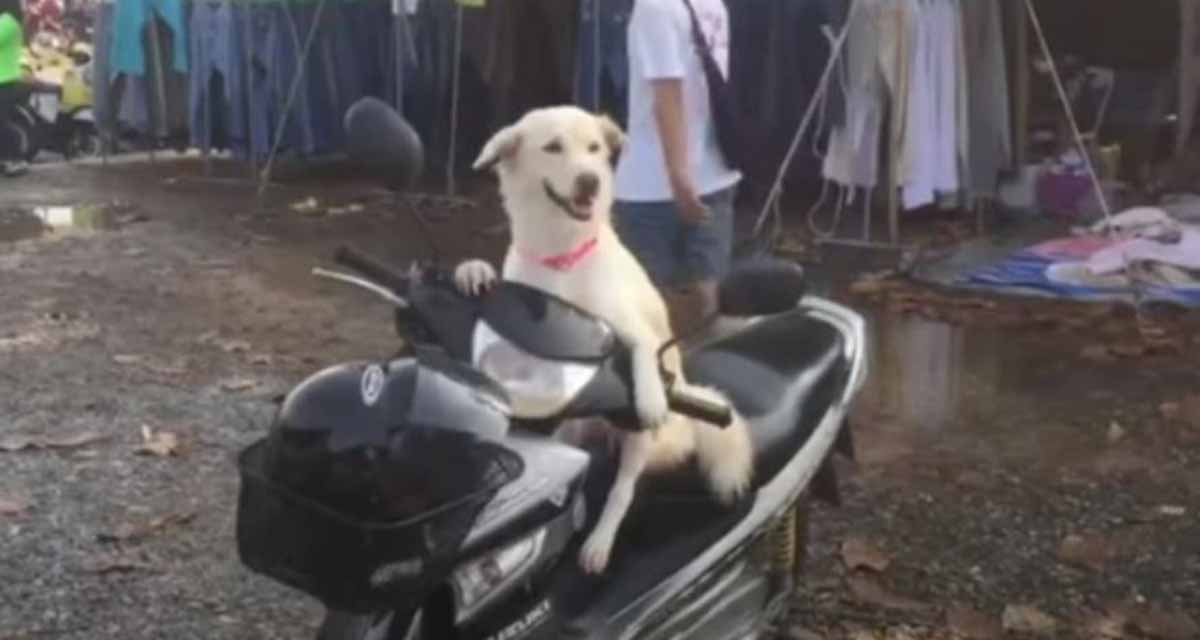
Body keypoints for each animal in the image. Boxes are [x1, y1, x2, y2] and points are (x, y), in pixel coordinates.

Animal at [453, 106, 753, 573]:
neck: (560, 259)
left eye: (594, 148)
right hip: (571, 429)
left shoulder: (629, 327)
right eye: (553, 147)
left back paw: (598, 543)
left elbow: (644, 347)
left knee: (622, 490)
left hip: (641, 443)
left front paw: (651, 396)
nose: (590, 180)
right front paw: (473, 272)